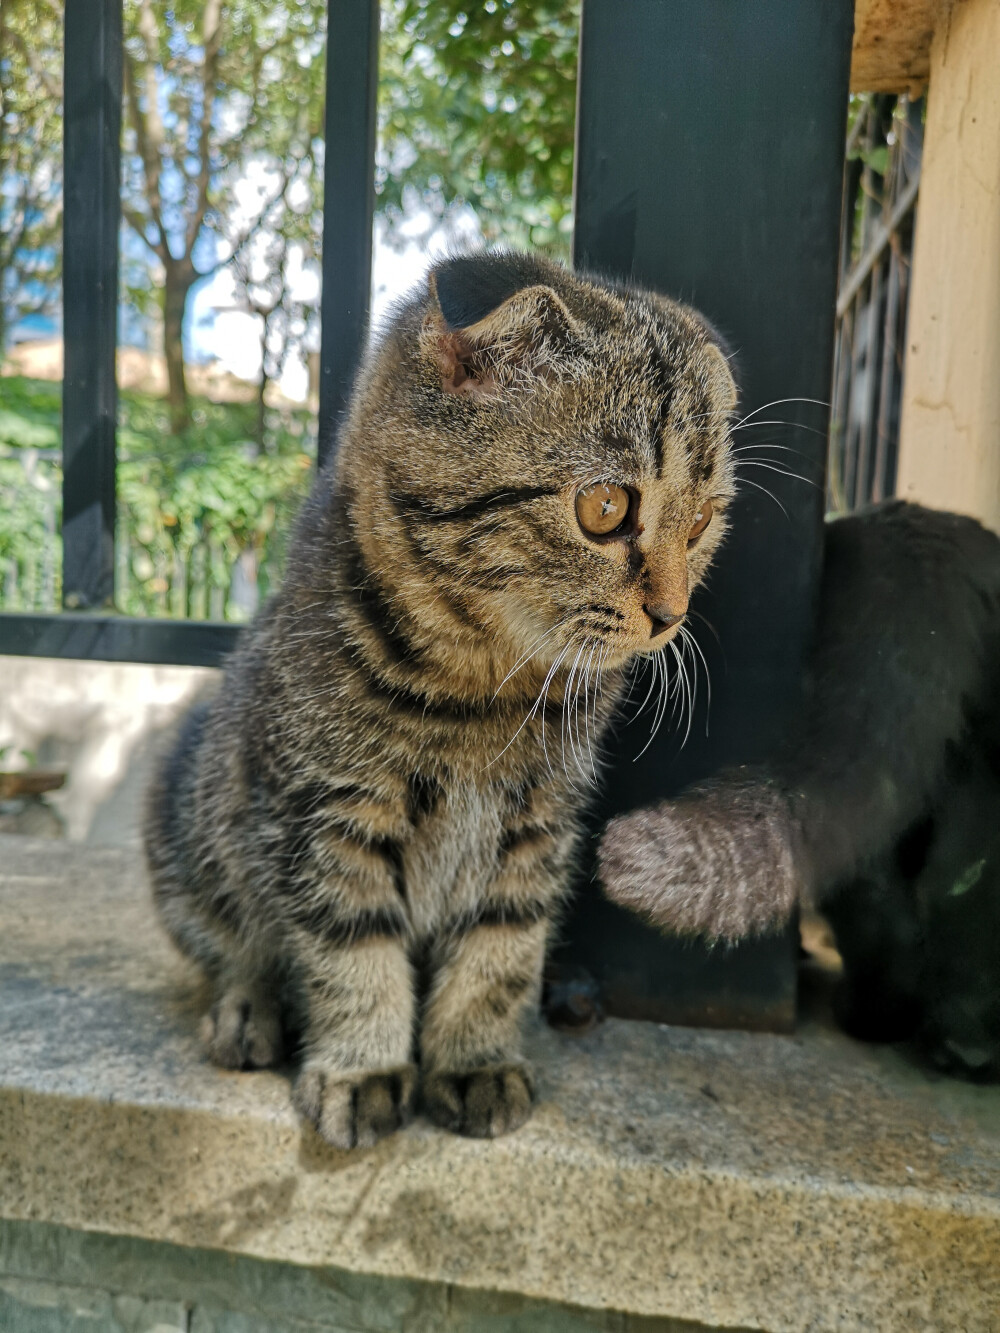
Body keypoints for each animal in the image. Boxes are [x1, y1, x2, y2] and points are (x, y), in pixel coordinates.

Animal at [150, 250, 746, 1146]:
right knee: (233, 944)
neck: (482, 691)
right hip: (188, 821)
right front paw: (362, 1066)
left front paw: (472, 1059)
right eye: (606, 507)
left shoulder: (538, 828)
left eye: (704, 519)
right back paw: (247, 1008)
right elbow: (351, 951)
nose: (670, 615)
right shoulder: (327, 814)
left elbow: (501, 951)